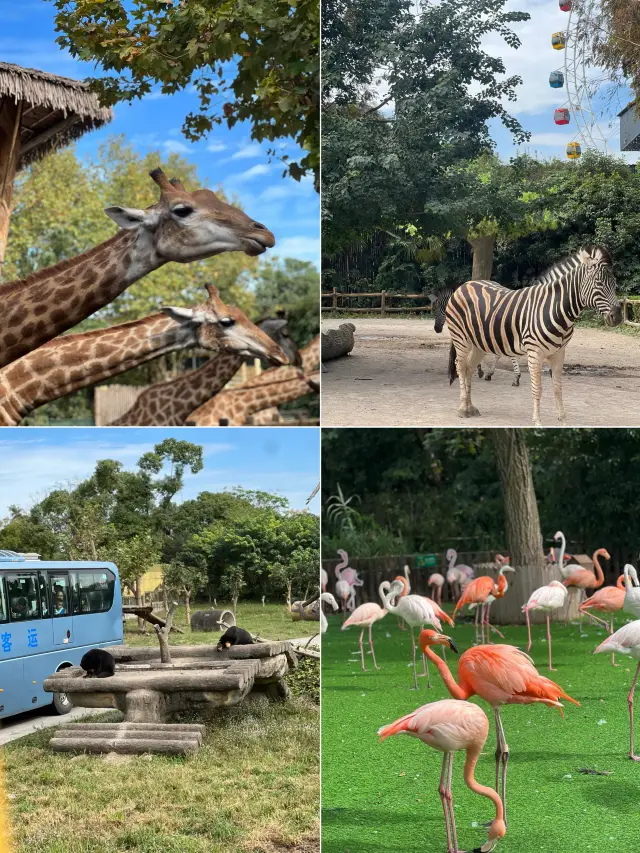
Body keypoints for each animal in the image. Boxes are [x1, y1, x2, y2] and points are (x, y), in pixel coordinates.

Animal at [444, 245, 620, 424]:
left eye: (614, 283)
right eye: (598, 283)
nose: (617, 317)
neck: (554, 309)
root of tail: (465, 284)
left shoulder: (559, 352)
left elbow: (557, 387)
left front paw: (562, 417)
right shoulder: (535, 352)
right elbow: (537, 389)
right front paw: (537, 421)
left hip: (479, 344)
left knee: (469, 368)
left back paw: (470, 407)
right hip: (461, 339)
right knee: (460, 367)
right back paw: (462, 409)